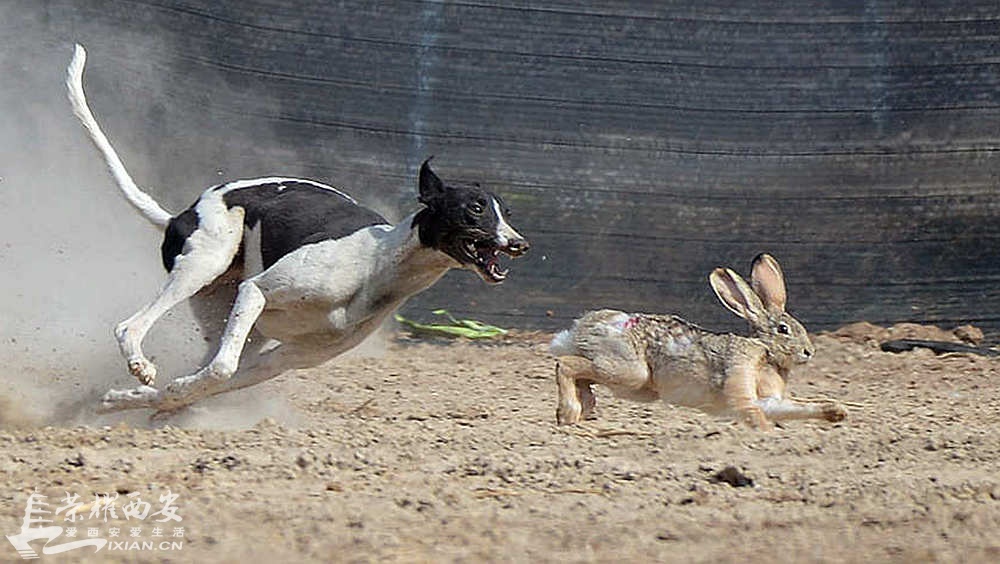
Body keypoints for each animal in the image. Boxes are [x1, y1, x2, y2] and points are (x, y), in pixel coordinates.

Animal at [65, 45, 528, 414]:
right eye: (474, 209)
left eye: (504, 211)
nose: (520, 245)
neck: (380, 264)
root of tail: (180, 214)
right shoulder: (257, 291)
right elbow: (222, 370)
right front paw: (145, 395)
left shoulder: (282, 357)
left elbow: (205, 380)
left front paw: (138, 401)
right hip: (206, 262)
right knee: (130, 326)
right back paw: (139, 364)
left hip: (227, 312)